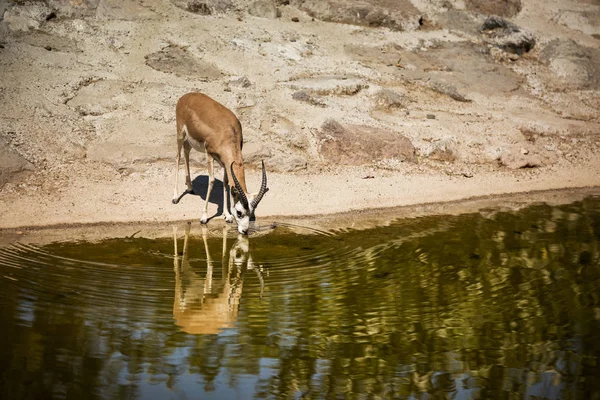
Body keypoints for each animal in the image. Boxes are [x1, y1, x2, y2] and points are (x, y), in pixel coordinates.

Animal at [172, 91, 268, 234]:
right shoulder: (209, 154)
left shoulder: (225, 162)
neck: (227, 132)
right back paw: (175, 197)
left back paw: (190, 187)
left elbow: (226, 182)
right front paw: (204, 217)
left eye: (251, 212)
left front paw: (227, 215)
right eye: (239, 212)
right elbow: (211, 181)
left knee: (186, 151)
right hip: (180, 133)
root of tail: (186, 96)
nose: (245, 231)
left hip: (189, 141)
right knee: (178, 157)